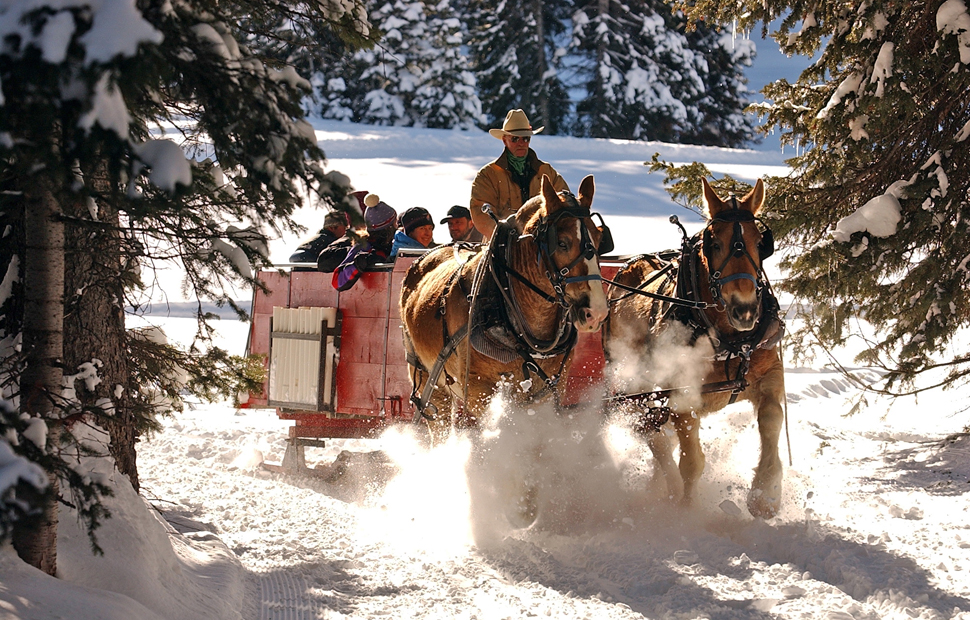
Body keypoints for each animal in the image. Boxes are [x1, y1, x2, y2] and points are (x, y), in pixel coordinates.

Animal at [398, 177, 604, 444]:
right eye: (561, 242)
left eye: (599, 239)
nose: (596, 312)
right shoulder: (478, 390)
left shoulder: (548, 390)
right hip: (427, 377)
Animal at [604, 178, 788, 520]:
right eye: (714, 243)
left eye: (761, 242)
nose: (745, 310)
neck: (729, 340)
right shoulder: (682, 397)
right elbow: (691, 462)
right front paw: (687, 511)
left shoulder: (770, 373)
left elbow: (771, 418)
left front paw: (766, 494)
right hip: (634, 386)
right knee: (655, 438)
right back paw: (667, 490)